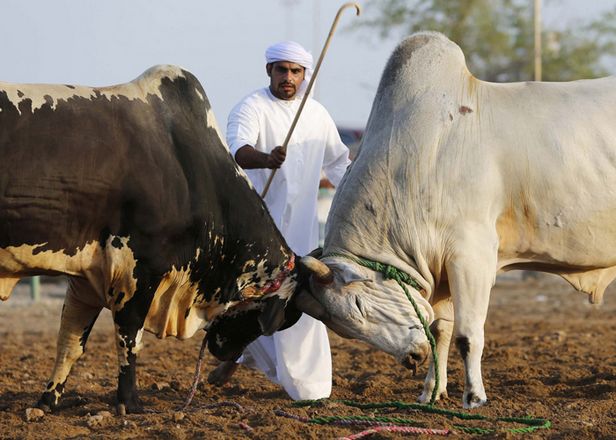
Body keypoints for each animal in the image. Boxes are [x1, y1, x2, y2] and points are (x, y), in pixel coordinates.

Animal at [298, 31, 616, 410]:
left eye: (358, 306)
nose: (412, 358)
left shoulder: (471, 257)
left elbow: (468, 334)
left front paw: (474, 397)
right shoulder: (443, 268)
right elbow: (441, 330)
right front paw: (431, 391)